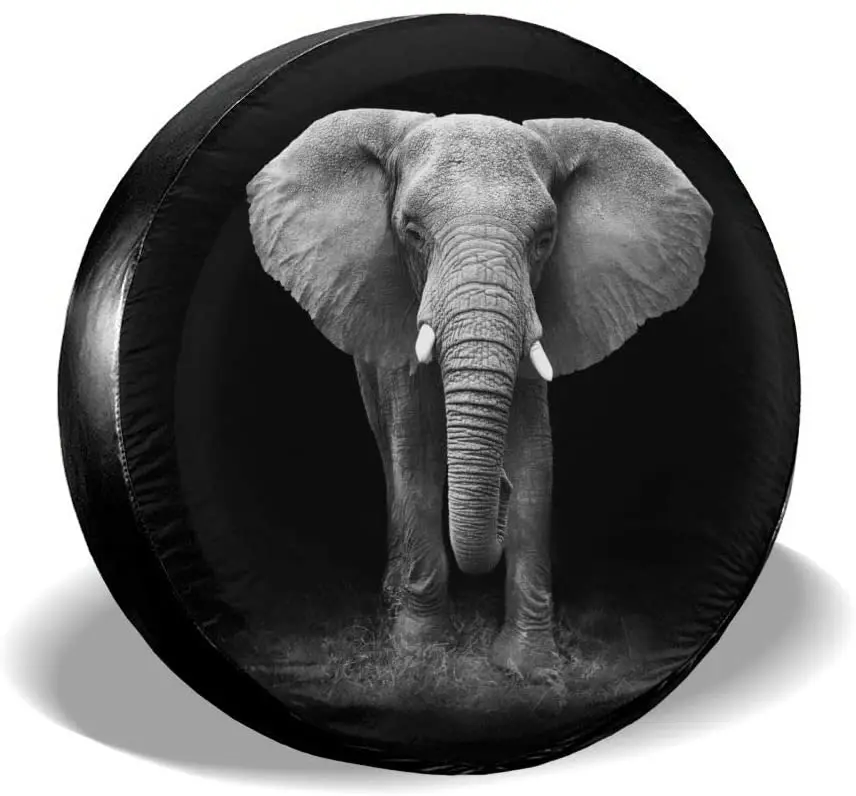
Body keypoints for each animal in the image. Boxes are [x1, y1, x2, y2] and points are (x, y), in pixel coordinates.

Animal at [246, 109, 712, 676]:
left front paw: (529, 668)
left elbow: (536, 460)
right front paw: (421, 652)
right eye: (412, 232)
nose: (499, 491)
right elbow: (416, 454)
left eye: (545, 238)